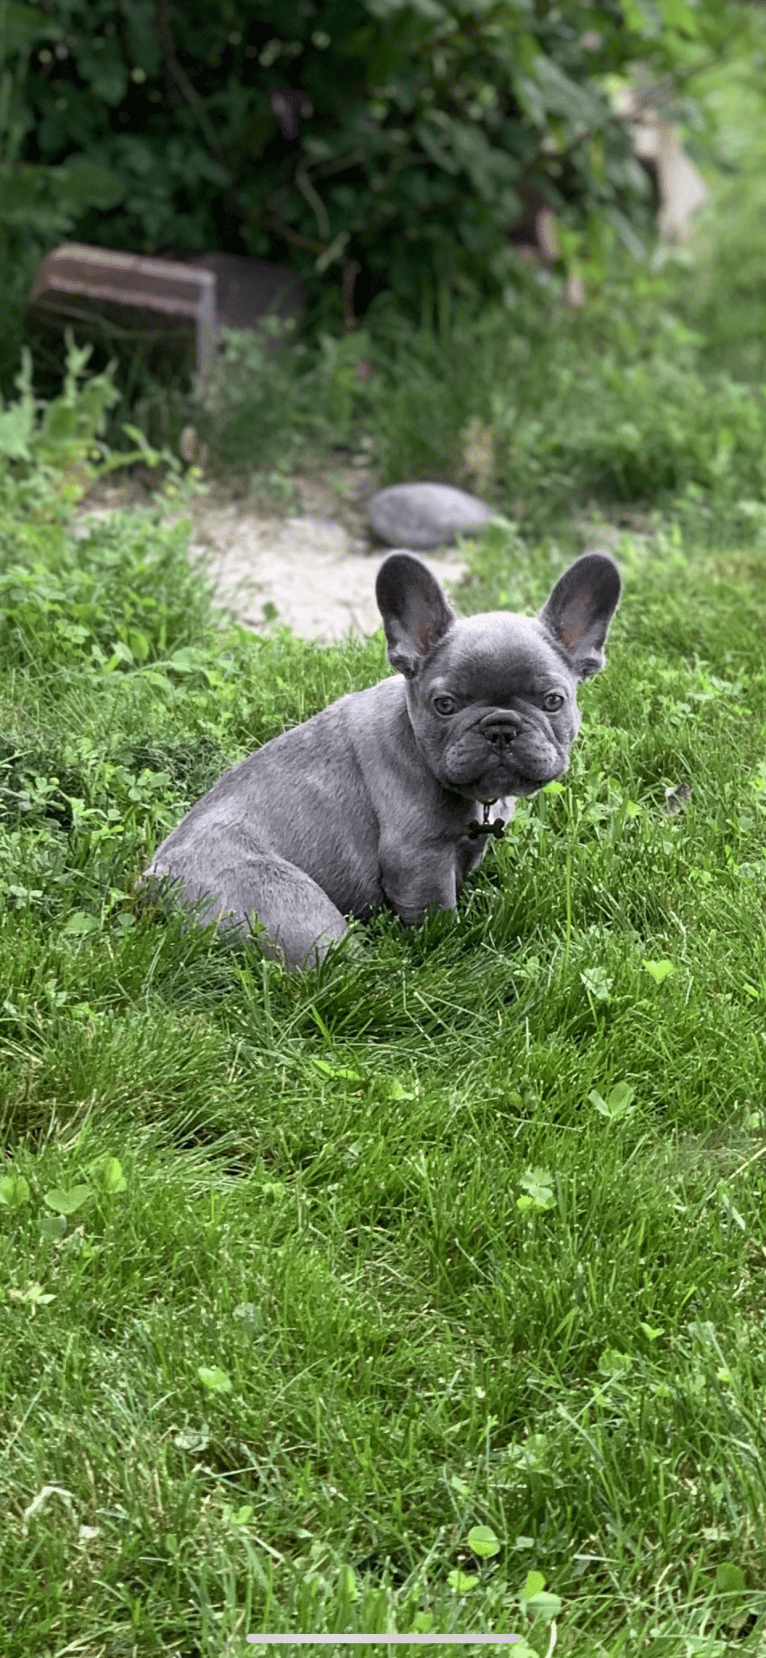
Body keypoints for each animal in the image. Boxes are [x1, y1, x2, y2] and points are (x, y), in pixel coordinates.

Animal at [145, 553, 623, 968]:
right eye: (445, 705)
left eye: (553, 701)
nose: (500, 727)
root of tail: (155, 881)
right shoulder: (418, 857)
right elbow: (437, 912)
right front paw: (449, 946)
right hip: (290, 904)